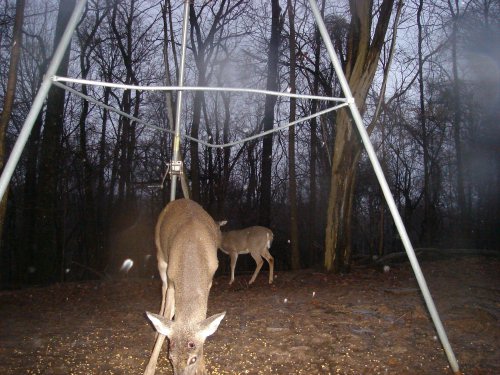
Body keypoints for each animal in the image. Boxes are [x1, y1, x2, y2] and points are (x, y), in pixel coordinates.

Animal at [143, 198, 225, 374]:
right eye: (170, 358)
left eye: (193, 358)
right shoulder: (172, 280)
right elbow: (168, 316)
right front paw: (149, 369)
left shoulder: (210, 279)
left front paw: (203, 367)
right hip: (161, 256)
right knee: (162, 289)